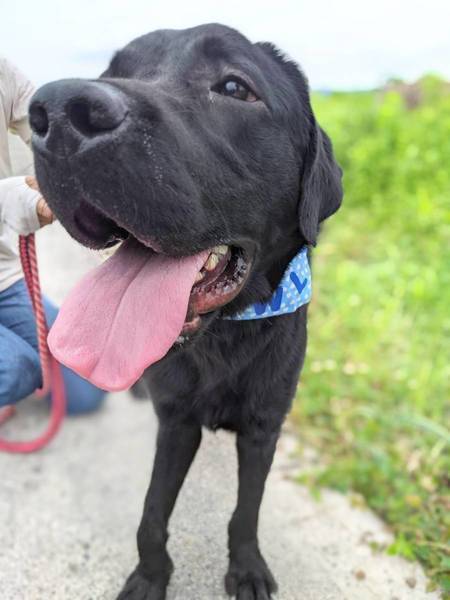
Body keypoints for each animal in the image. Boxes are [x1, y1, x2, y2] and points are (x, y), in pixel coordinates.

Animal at [29, 23, 342, 600]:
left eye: (236, 87)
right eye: (114, 73)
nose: (57, 112)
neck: (223, 335)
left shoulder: (264, 428)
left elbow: (246, 512)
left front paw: (247, 569)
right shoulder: (176, 423)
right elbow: (152, 514)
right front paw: (149, 577)